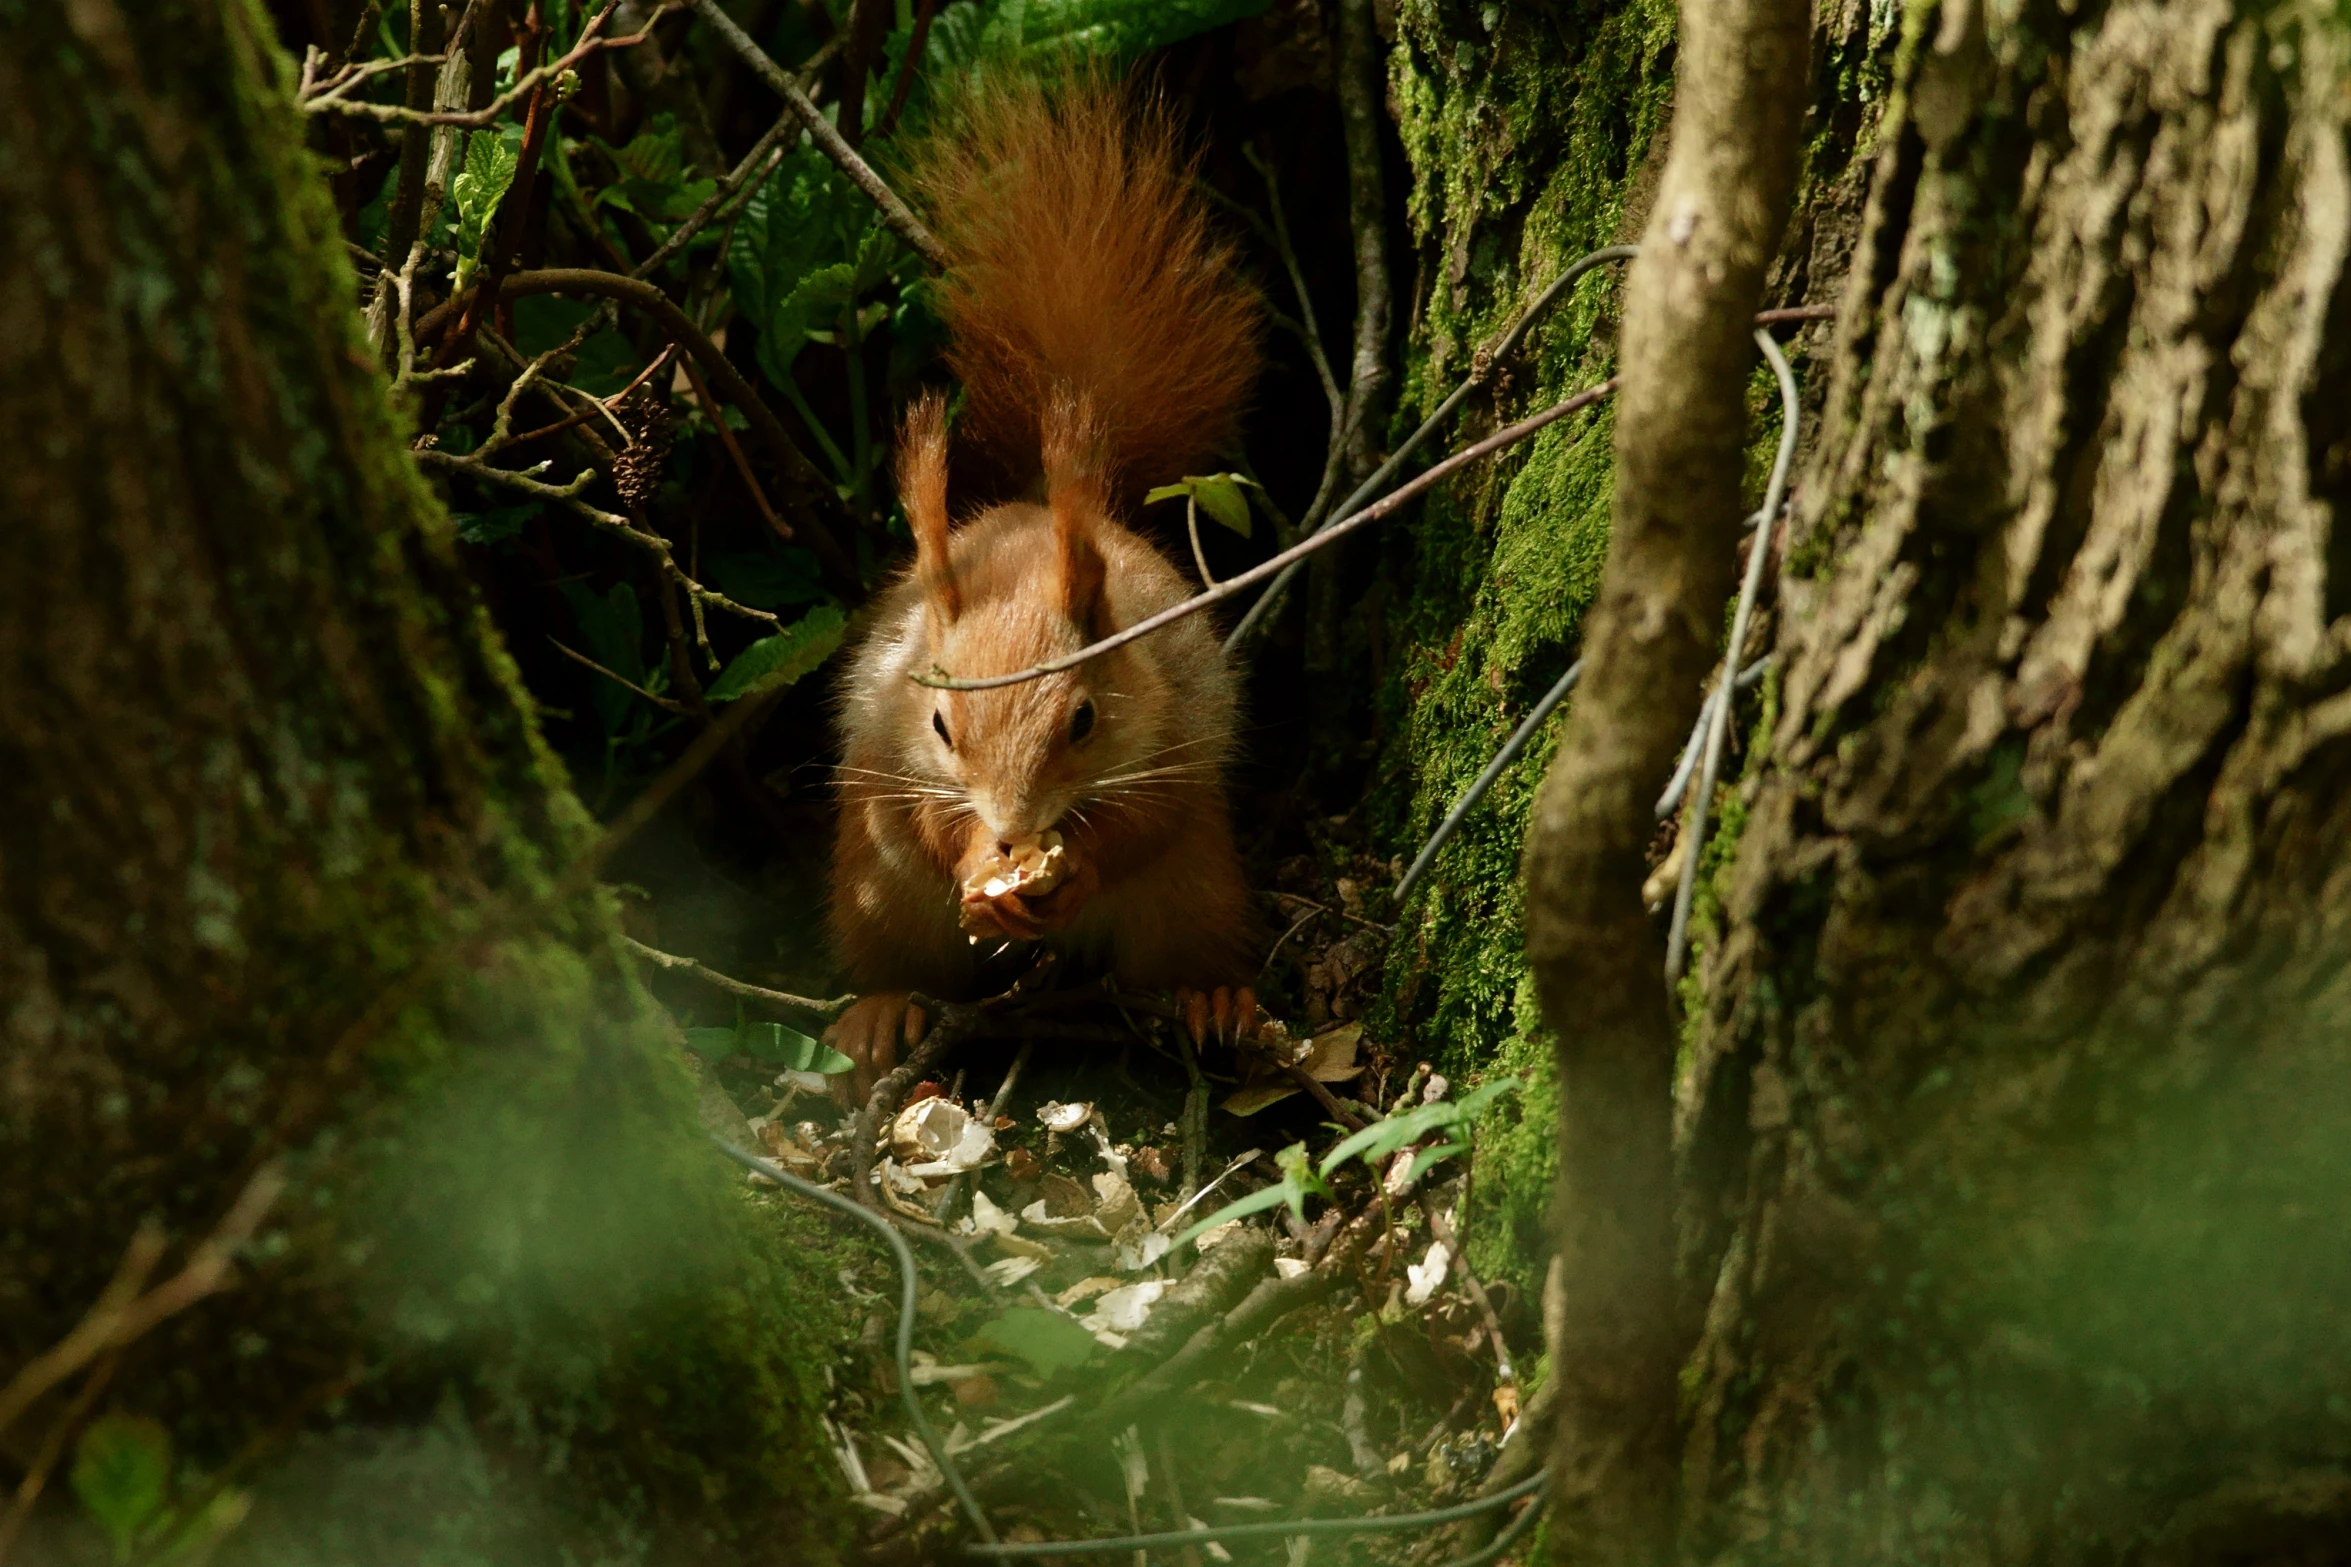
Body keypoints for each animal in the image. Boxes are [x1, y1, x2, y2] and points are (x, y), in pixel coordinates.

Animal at [827, 76, 1269, 1104]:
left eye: (1084, 720)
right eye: (940, 724)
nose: (1013, 827)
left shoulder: (1178, 726)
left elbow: (1144, 819)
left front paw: (1077, 864)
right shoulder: (886, 735)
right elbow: (918, 816)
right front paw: (969, 865)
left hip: (1196, 889)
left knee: (1187, 937)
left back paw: (1210, 997)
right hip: (874, 891)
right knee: (889, 945)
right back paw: (880, 1014)